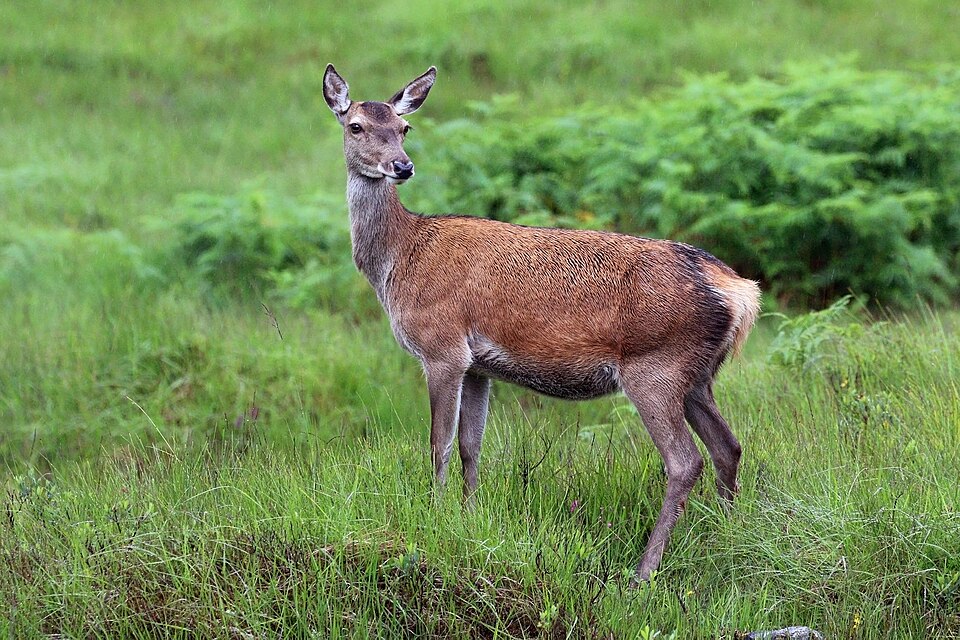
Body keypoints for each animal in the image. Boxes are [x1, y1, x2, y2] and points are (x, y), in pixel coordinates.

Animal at [322, 64, 761, 580]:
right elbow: (471, 446)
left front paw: (434, 516)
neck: (399, 260)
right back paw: (726, 537)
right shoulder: (478, 366)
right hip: (698, 374)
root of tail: (739, 291)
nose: (402, 166)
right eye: (356, 126)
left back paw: (643, 571)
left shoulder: (441, 347)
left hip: (656, 366)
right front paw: (467, 519)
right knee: (728, 447)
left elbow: (438, 444)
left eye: (404, 127)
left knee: (684, 461)